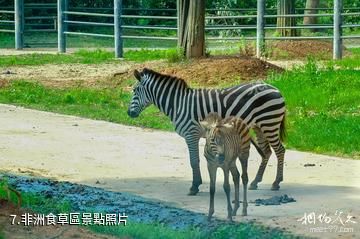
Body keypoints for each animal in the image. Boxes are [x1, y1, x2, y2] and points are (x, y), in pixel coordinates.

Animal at [128, 68, 286, 195]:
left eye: (135, 91)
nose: (129, 113)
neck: (178, 104)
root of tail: (274, 88)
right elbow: (197, 160)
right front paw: (197, 184)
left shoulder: (191, 134)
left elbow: (194, 161)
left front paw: (194, 187)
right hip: (259, 127)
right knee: (267, 152)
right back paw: (255, 182)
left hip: (269, 123)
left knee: (280, 150)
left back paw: (276, 183)